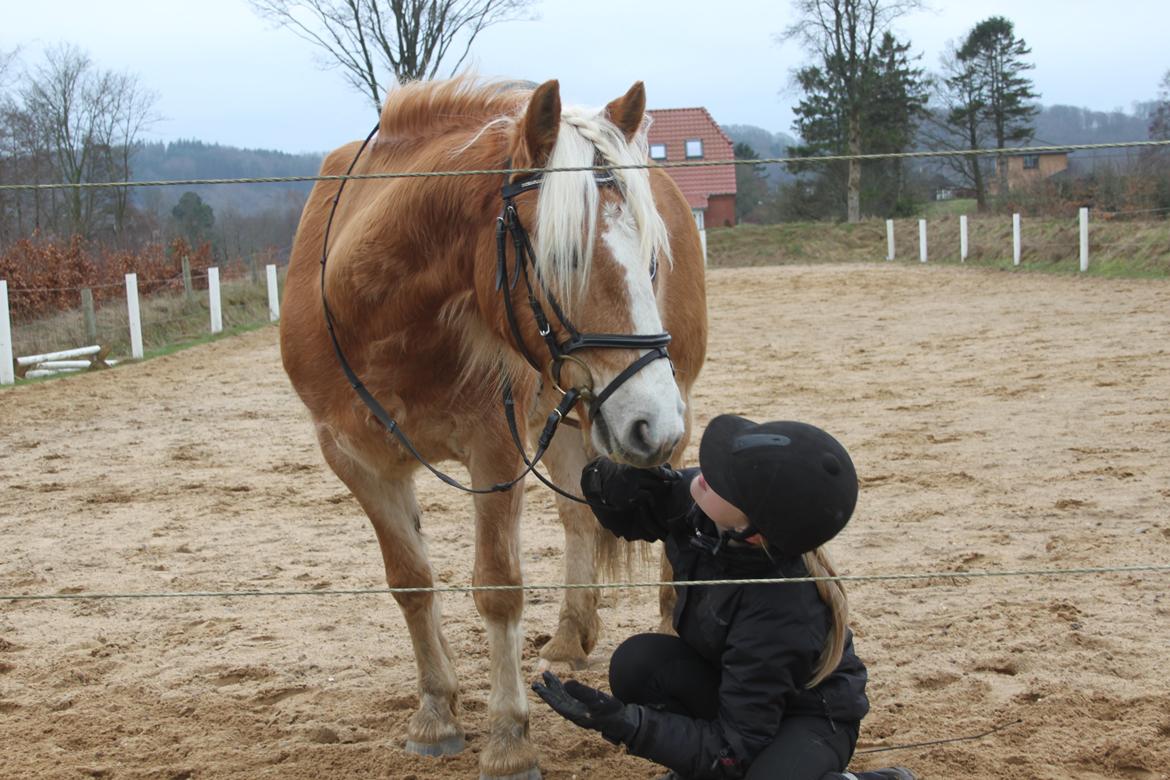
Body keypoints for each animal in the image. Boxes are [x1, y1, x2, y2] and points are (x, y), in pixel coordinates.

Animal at [279, 74, 706, 780]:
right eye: (564, 256)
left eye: (651, 261)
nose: (655, 421)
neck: (382, 316)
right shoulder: (356, 461)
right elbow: (410, 582)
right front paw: (435, 713)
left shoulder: (496, 452)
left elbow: (499, 587)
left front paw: (509, 739)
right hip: (576, 415)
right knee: (579, 517)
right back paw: (570, 636)